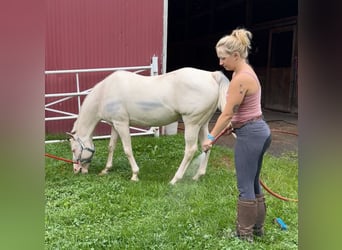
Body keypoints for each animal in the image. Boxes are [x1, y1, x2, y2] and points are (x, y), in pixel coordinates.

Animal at [68, 67, 228, 185]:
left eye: (74, 149)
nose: (76, 170)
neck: (105, 92)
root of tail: (211, 75)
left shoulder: (122, 124)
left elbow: (127, 149)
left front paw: (134, 175)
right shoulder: (115, 124)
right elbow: (111, 146)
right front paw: (106, 170)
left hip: (192, 123)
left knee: (190, 150)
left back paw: (175, 179)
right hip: (202, 124)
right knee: (206, 146)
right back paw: (197, 176)